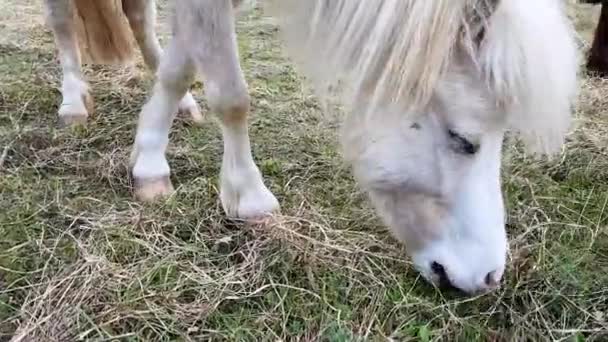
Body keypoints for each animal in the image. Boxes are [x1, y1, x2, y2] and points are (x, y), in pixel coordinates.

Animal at [46, 0, 580, 294]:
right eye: (463, 139)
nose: (489, 279)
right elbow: (232, 95)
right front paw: (248, 197)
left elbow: (181, 66)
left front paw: (150, 158)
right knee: (62, 19)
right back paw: (73, 100)